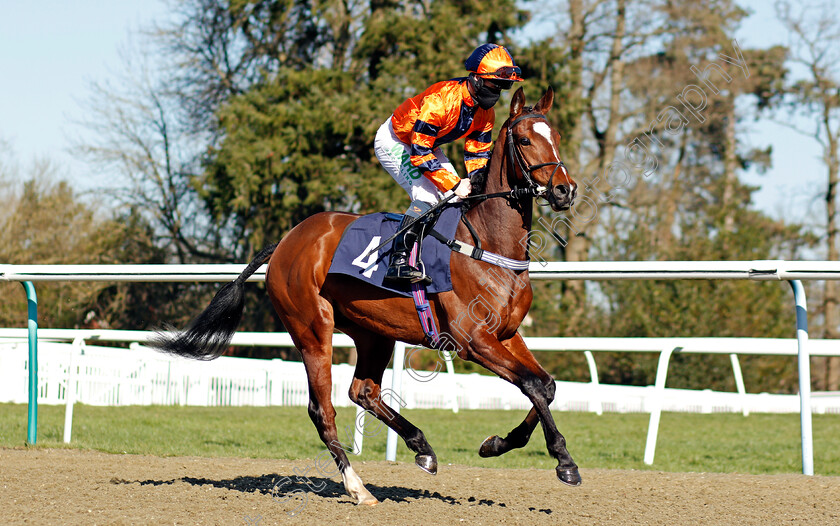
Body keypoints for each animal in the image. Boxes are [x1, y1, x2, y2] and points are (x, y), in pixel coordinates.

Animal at [153, 86, 576, 508]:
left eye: (556, 136)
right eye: (525, 140)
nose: (565, 189)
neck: (485, 243)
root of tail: (286, 241)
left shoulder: (506, 334)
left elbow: (546, 385)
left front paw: (498, 443)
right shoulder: (473, 340)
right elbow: (532, 385)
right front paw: (564, 461)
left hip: (374, 333)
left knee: (364, 392)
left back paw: (422, 448)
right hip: (312, 329)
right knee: (321, 410)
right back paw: (358, 487)